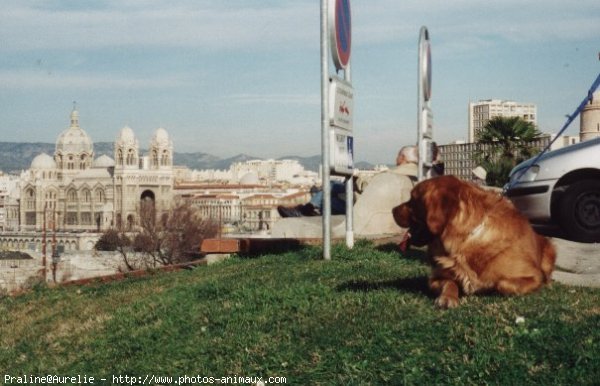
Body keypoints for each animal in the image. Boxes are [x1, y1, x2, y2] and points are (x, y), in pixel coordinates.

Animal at [392, 176, 556, 310]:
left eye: (413, 199)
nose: (392, 210)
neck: (465, 239)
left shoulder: (534, 276)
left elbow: (503, 284)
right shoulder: (435, 278)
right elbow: (449, 283)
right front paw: (448, 297)